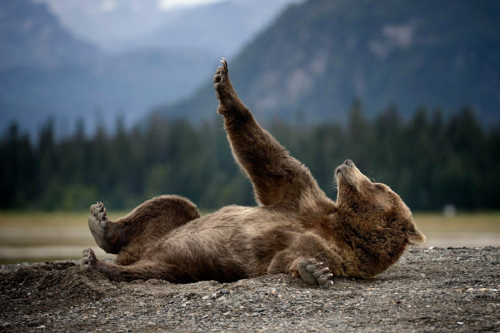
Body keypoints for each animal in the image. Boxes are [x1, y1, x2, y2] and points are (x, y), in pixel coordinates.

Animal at [82, 58, 426, 286]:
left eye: (380, 186)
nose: (349, 162)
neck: (341, 225)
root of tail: (137, 253)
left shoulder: (336, 251)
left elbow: (288, 257)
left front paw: (314, 271)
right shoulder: (299, 197)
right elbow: (268, 160)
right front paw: (224, 80)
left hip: (184, 265)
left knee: (152, 270)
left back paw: (98, 263)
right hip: (169, 229)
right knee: (174, 205)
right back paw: (101, 224)